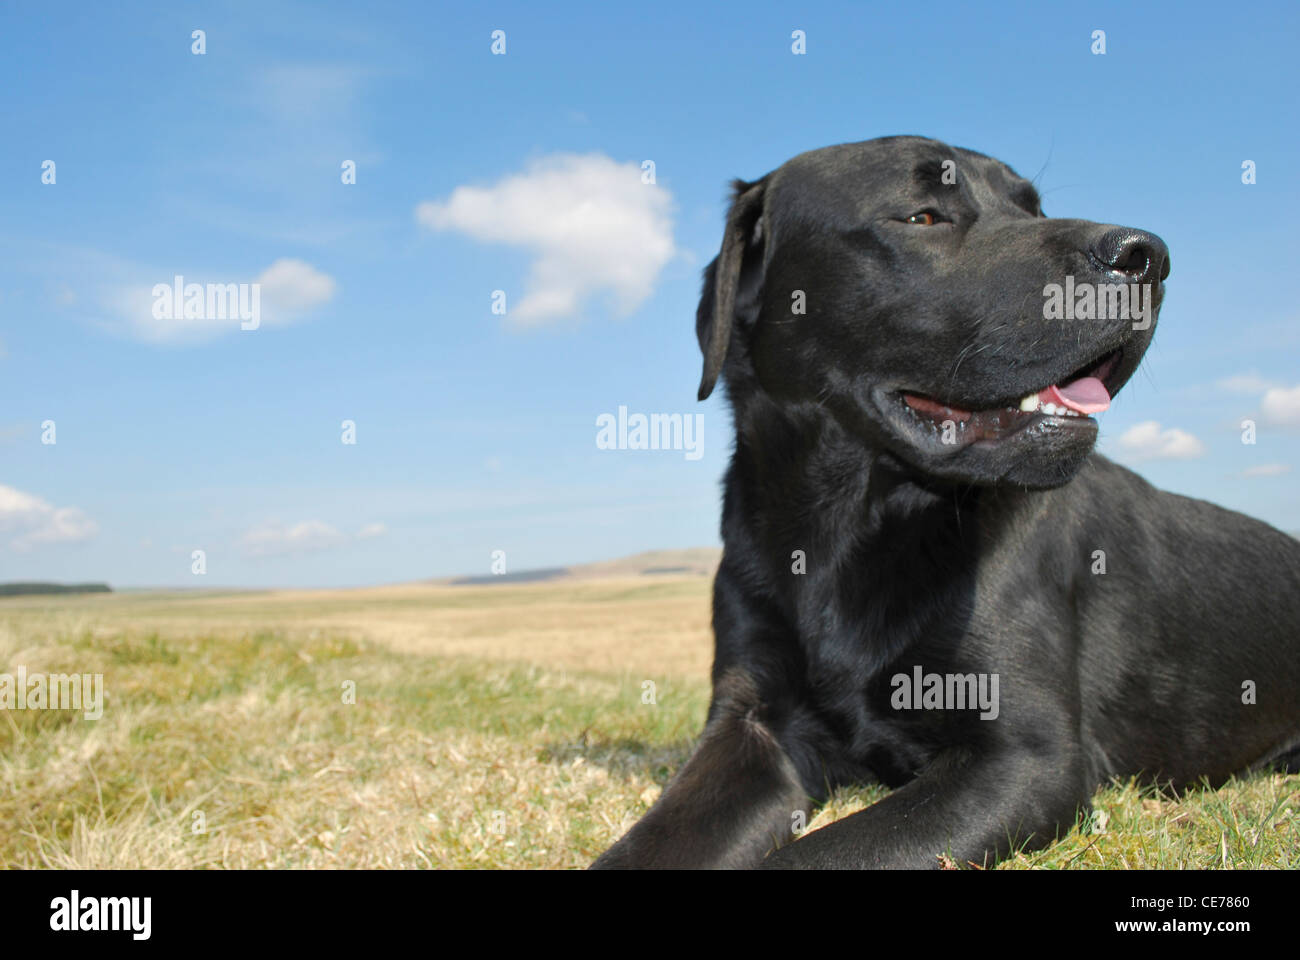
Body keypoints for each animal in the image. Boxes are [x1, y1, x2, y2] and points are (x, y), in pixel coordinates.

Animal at [595, 132, 1300, 868]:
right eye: (923, 216)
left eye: (1032, 208)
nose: (1146, 256)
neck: (846, 529)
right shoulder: (752, 722)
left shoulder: (1027, 756)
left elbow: (815, 855)